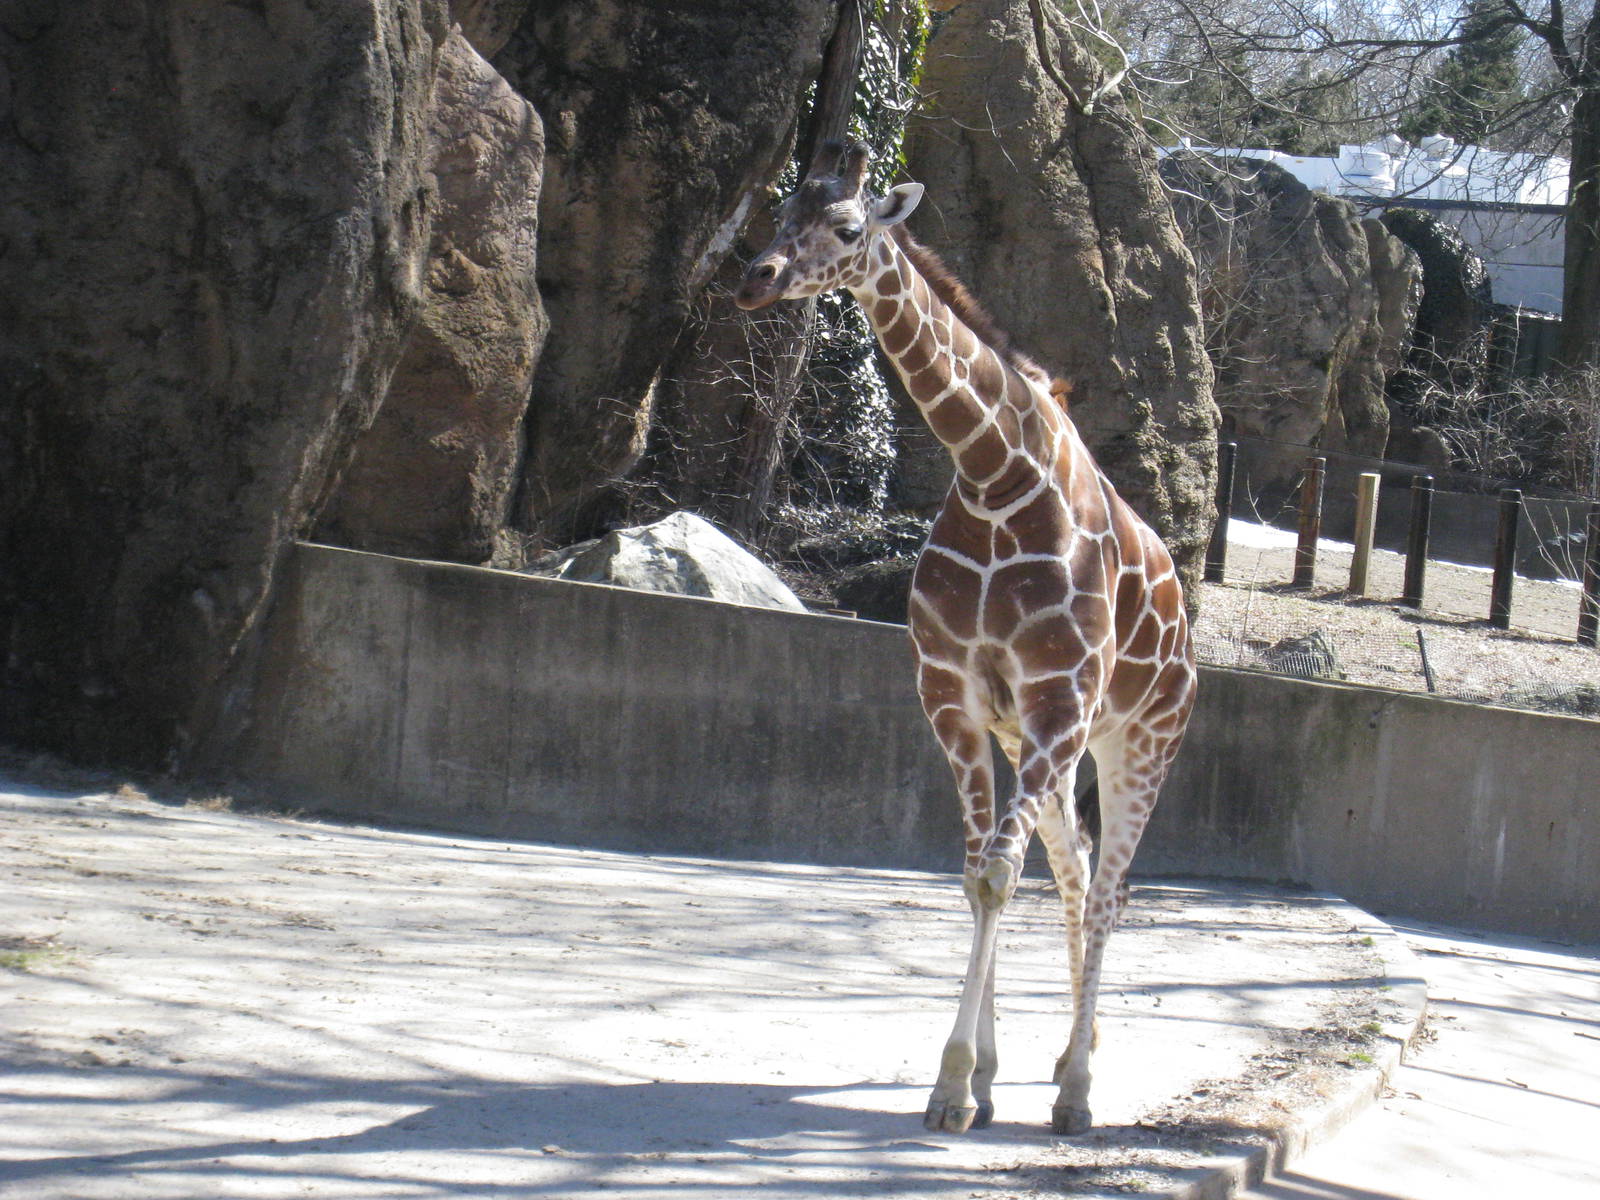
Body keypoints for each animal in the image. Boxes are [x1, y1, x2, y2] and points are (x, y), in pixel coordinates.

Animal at [736, 142, 1198, 1136]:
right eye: (781, 210)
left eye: (848, 227)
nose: (757, 279)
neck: (993, 474)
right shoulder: (955, 692)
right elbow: (978, 875)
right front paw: (976, 1078)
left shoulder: (1060, 697)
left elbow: (997, 874)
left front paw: (953, 1085)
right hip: (1045, 745)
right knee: (1075, 873)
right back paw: (1065, 1057)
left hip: (1137, 738)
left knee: (1112, 889)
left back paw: (1077, 1090)